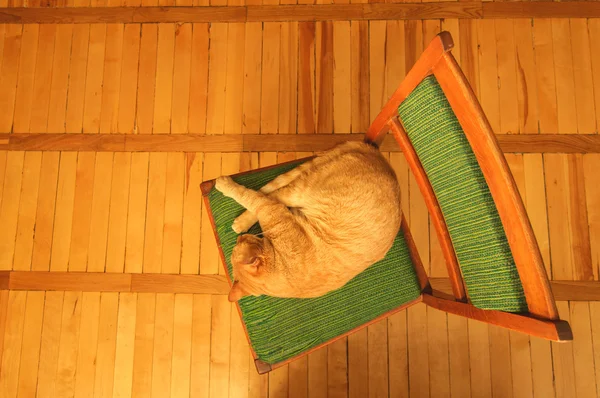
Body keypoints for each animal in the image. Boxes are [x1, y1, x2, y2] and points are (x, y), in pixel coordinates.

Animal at [213, 141, 400, 302]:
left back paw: (234, 209)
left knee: (270, 193)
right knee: (273, 188)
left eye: (242, 242)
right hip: (303, 185)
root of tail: (377, 154)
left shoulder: (271, 209)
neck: (279, 265)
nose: (240, 237)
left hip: (300, 191)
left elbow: (249, 197)